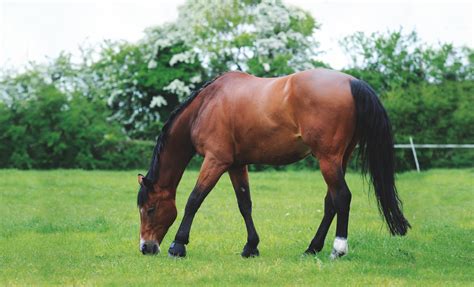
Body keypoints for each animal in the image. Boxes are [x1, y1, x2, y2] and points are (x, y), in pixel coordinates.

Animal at [135, 68, 410, 260]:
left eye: (150, 208)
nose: (146, 247)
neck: (206, 106)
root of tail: (353, 82)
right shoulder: (236, 165)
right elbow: (244, 204)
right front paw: (251, 247)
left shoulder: (215, 160)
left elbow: (194, 199)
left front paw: (178, 245)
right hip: (339, 158)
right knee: (331, 202)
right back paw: (312, 248)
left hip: (328, 159)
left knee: (342, 197)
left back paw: (338, 249)